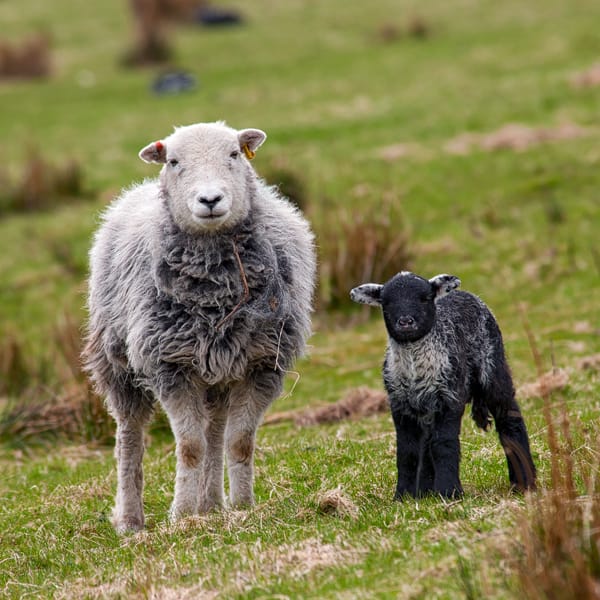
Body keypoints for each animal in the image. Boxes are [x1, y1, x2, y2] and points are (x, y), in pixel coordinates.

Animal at [82, 119, 316, 532]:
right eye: (173, 162)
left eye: (235, 154)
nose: (209, 200)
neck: (215, 288)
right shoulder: (169, 366)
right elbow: (190, 447)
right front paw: (181, 514)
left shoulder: (262, 365)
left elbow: (239, 442)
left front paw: (243, 507)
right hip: (116, 363)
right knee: (129, 435)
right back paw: (131, 519)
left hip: (218, 372)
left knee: (216, 430)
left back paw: (212, 504)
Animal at [350, 270, 536, 496]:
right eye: (386, 303)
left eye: (425, 298)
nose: (405, 322)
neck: (414, 366)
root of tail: (465, 293)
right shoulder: (399, 403)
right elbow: (407, 451)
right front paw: (403, 495)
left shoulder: (449, 396)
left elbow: (443, 444)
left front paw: (449, 491)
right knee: (426, 441)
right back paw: (425, 490)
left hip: (492, 367)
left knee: (509, 418)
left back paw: (524, 482)